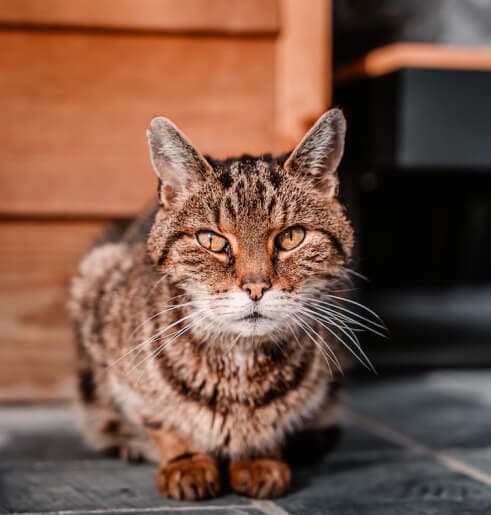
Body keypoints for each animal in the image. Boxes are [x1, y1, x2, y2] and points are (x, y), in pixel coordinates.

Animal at [69, 108, 376, 500]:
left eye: (291, 236)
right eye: (212, 240)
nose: (256, 286)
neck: (240, 361)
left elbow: (277, 422)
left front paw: (260, 456)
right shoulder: (115, 355)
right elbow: (159, 419)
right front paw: (186, 461)